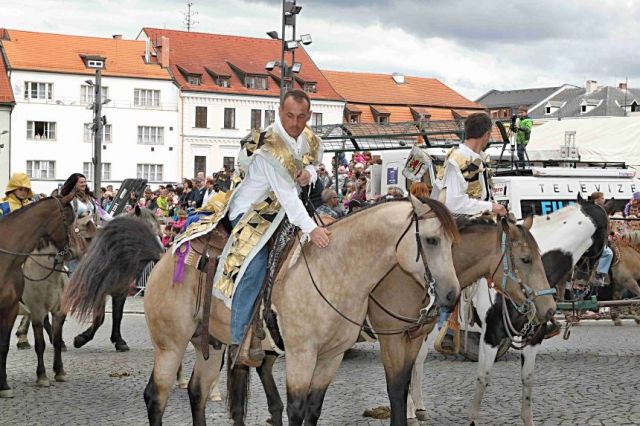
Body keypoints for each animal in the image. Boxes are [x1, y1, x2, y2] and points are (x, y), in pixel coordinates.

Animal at [0, 195, 75, 398]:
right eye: (70, 218)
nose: (72, 251)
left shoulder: (10, 310)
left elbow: (3, 347)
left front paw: (3, 386)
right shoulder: (36, 310)